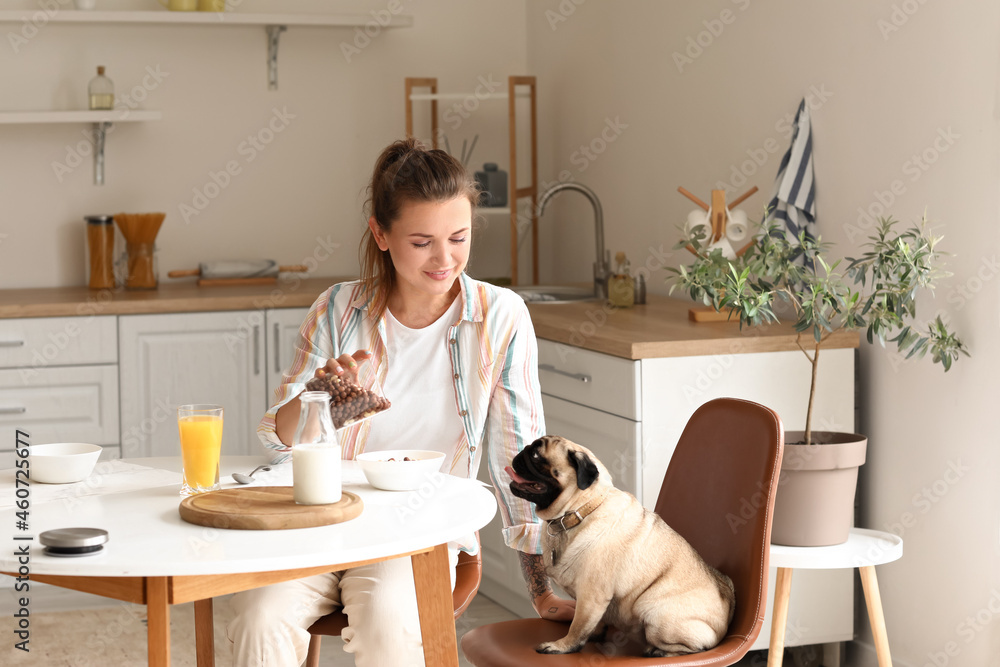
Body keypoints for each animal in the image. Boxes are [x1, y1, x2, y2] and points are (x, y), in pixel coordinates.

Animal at [508, 436, 736, 660]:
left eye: (536, 456)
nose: (522, 450)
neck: (580, 510)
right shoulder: (593, 603)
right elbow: (592, 622)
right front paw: (595, 634)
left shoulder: (591, 595)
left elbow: (577, 626)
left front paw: (563, 646)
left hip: (652, 611)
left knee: (696, 648)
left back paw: (657, 651)